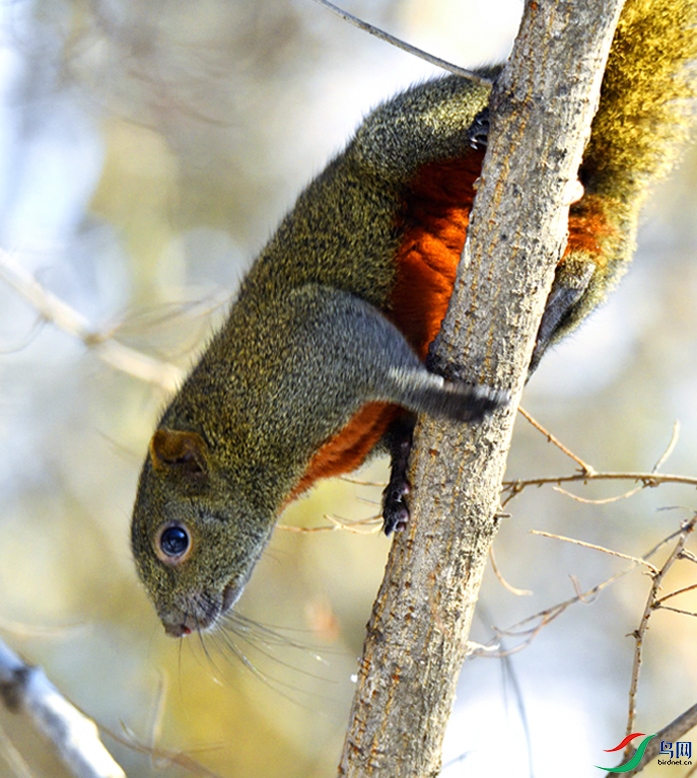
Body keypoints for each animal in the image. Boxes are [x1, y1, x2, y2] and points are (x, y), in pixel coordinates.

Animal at [130, 0, 696, 632]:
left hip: (399, 136)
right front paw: (398, 488)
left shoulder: (309, 344)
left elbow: (392, 368)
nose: (176, 626)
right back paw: (552, 309)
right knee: (584, 268)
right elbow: (402, 430)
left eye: (173, 540)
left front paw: (463, 406)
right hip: (601, 234)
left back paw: (484, 126)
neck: (238, 439)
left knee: (440, 128)